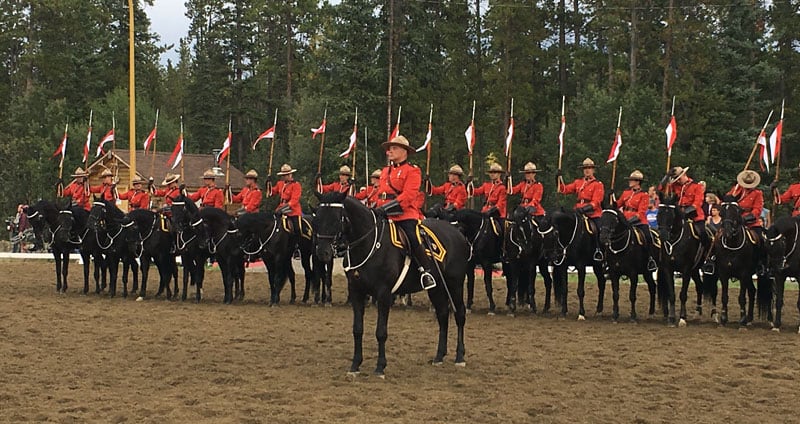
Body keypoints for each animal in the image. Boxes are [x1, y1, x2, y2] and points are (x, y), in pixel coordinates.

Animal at [312, 193, 468, 378]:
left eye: (336, 219)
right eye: (317, 218)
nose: (322, 252)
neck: (368, 245)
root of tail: (458, 233)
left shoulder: (384, 294)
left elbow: (381, 332)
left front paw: (380, 367)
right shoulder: (356, 292)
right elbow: (357, 329)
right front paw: (355, 365)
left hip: (455, 284)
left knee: (459, 315)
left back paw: (460, 357)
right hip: (436, 288)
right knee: (443, 314)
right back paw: (439, 356)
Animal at [656, 197, 708, 326]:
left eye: (671, 215)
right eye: (658, 213)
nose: (663, 235)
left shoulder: (686, 269)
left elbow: (683, 294)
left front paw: (682, 318)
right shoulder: (668, 269)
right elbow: (671, 294)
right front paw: (671, 318)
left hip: (693, 270)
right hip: (694, 270)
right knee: (699, 286)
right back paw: (697, 313)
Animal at [708, 197, 772, 326]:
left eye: (737, 212)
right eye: (721, 213)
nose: (727, 232)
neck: (732, 245)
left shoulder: (744, 274)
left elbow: (742, 297)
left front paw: (742, 319)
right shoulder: (723, 274)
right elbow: (724, 296)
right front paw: (723, 318)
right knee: (752, 291)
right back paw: (749, 318)